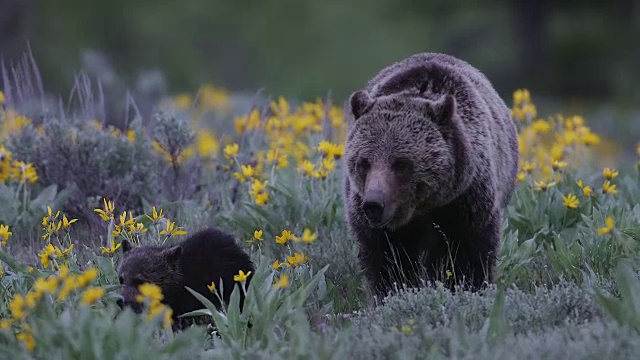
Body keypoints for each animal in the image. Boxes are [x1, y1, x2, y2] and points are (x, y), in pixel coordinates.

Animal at [342, 52, 516, 298]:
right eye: (364, 162)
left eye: (401, 163)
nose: (374, 204)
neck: (421, 207)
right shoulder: (375, 225)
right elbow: (387, 261)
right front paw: (394, 291)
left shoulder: (464, 203)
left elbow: (466, 255)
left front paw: (465, 287)